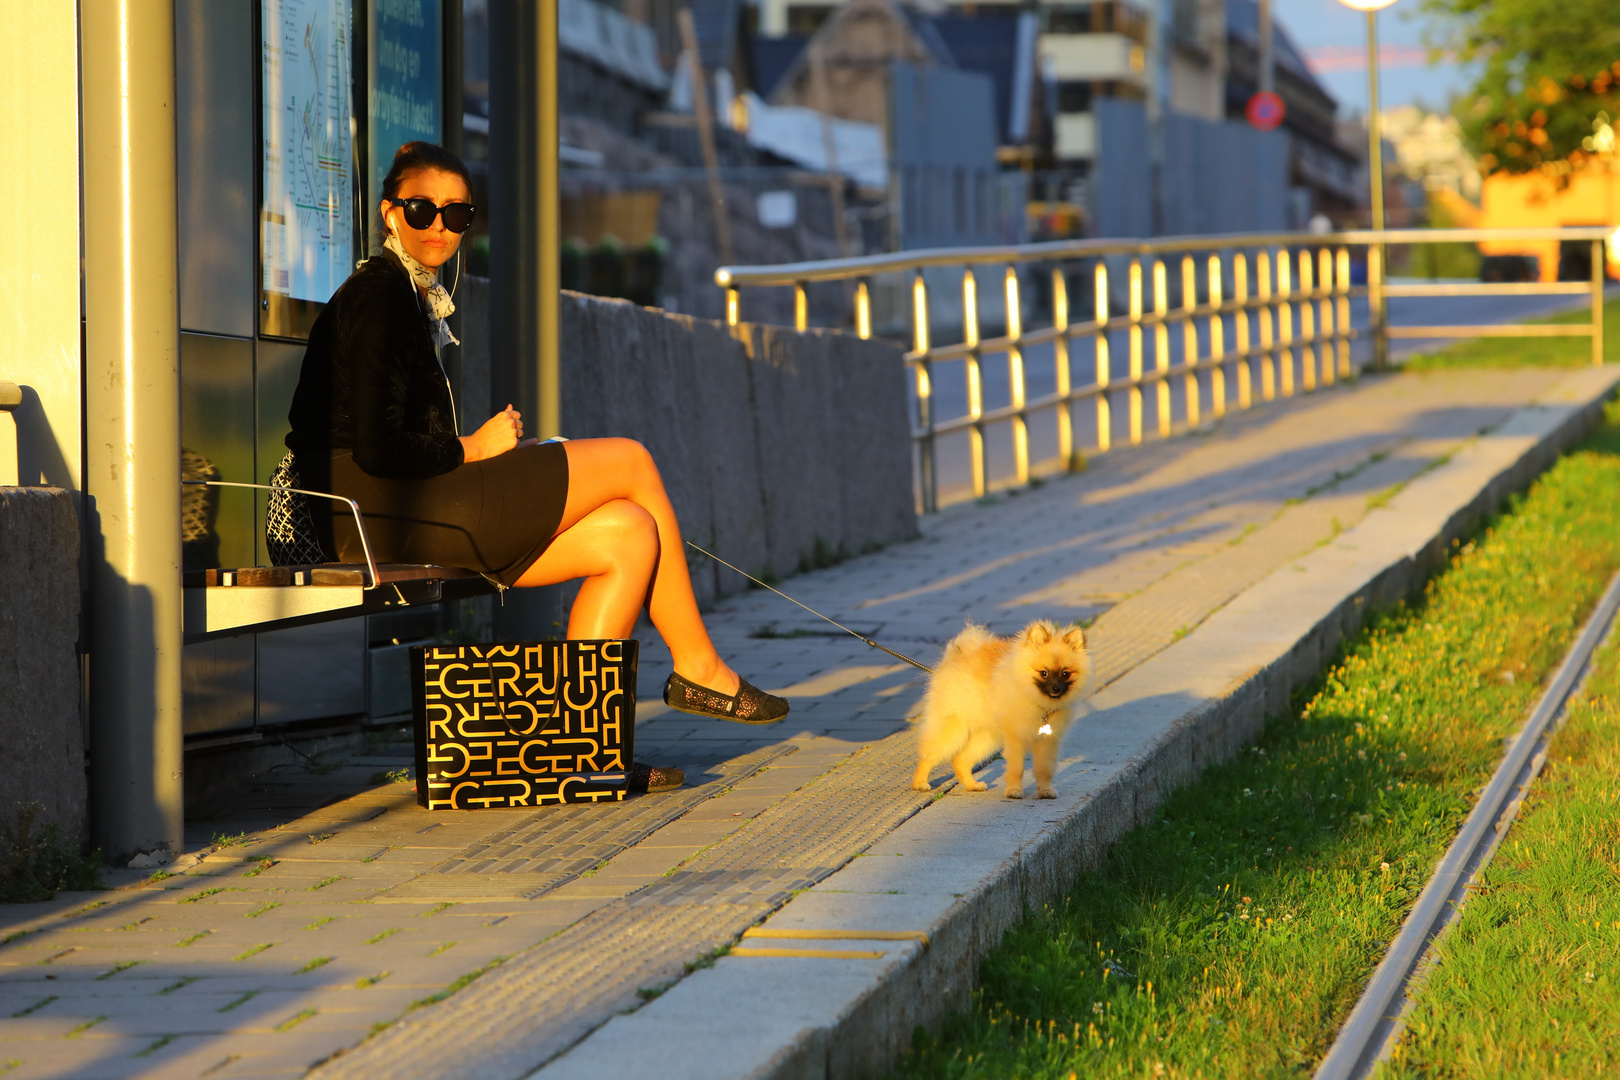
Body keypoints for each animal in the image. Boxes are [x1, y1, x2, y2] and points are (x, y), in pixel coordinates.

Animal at [913, 621, 1088, 799]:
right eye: (1044, 673)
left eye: (1065, 673)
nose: (1056, 689)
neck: (1038, 702)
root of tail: (957, 656)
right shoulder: (1016, 738)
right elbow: (1017, 768)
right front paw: (1014, 791)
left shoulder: (1047, 741)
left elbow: (1045, 769)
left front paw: (1045, 791)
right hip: (953, 728)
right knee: (928, 755)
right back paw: (920, 783)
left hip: (985, 736)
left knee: (960, 760)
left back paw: (972, 785)